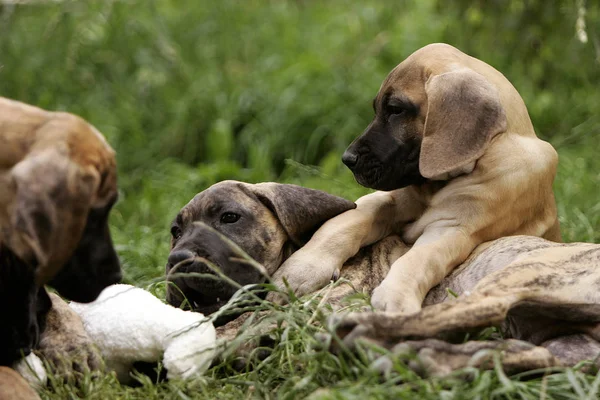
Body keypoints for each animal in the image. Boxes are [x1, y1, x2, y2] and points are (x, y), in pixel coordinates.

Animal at [270, 43, 560, 312]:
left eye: (396, 109)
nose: (348, 159)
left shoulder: (454, 228)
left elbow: (420, 259)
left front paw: (396, 297)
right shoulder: (385, 200)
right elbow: (342, 224)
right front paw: (301, 268)